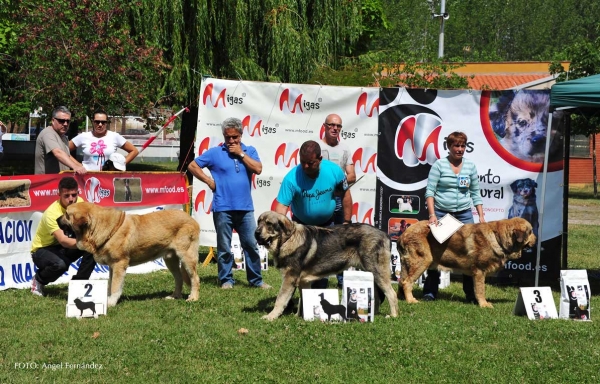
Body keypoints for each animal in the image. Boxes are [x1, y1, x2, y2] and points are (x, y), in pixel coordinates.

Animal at [57, 201, 200, 306]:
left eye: (67, 214)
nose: (57, 219)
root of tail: (192, 219)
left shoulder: (119, 264)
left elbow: (115, 286)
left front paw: (111, 303)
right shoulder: (112, 267)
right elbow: (110, 284)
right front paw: (108, 299)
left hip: (186, 257)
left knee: (195, 278)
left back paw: (193, 298)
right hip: (170, 259)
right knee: (179, 278)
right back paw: (175, 296)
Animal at [398, 218, 536, 308]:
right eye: (531, 232)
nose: (536, 239)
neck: (498, 237)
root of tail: (404, 234)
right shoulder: (480, 271)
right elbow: (480, 289)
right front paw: (484, 304)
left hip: (407, 265)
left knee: (401, 280)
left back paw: (402, 298)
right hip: (422, 261)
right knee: (407, 282)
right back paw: (411, 300)